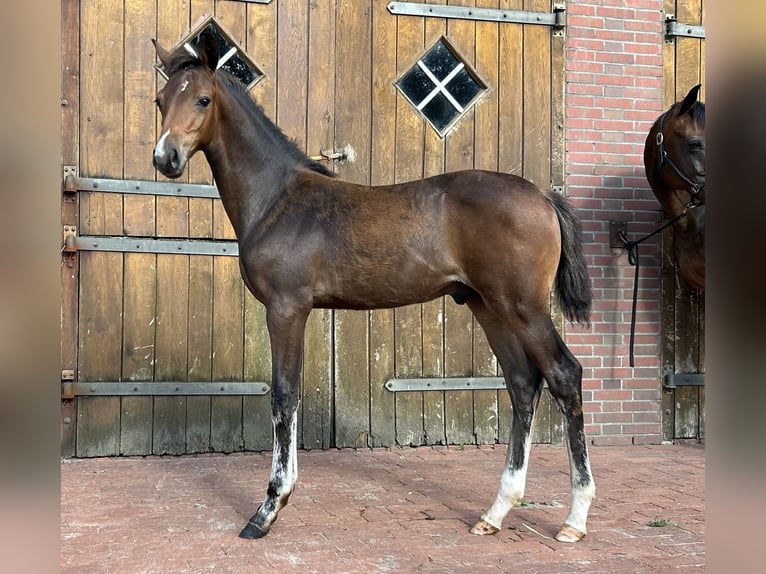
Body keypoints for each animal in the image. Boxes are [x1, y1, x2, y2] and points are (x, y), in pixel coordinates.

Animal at [150, 33, 592, 548]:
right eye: (160, 100)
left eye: (202, 99)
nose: (165, 158)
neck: (277, 199)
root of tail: (542, 196)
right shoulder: (295, 310)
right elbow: (290, 395)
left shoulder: (286, 308)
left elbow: (283, 396)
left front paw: (268, 509)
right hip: (488, 306)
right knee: (522, 383)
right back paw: (496, 511)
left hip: (523, 307)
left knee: (563, 374)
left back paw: (575, 518)